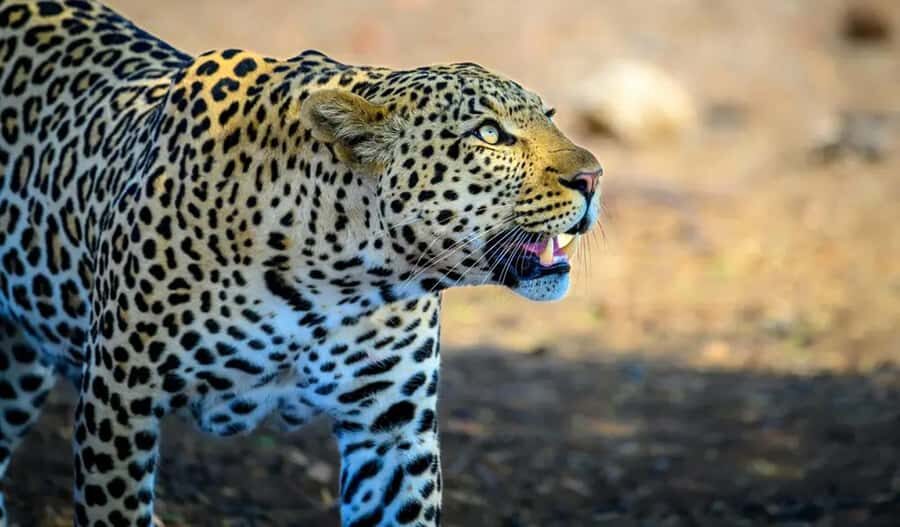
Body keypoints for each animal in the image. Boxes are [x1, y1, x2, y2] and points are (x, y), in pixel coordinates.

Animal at [0, 1, 603, 525]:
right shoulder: (121, 399)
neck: (342, 278)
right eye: (489, 134)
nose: (594, 177)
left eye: (550, 116)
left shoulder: (390, 430)